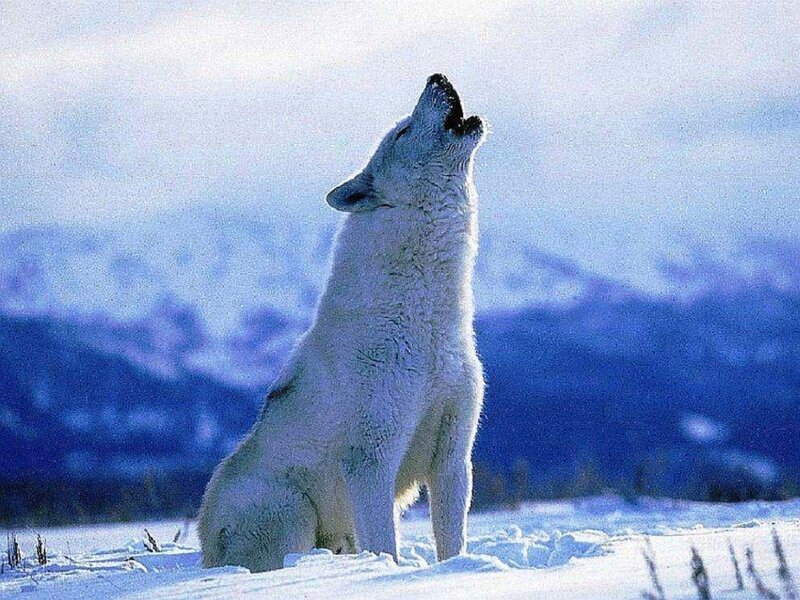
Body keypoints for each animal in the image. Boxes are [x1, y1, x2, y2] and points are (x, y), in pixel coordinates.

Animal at [198, 74, 486, 572]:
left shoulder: (453, 457)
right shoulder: (370, 461)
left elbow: (452, 542)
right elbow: (386, 544)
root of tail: (204, 547)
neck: (427, 325)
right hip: (292, 511)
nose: (438, 77)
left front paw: (455, 571)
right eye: (403, 132)